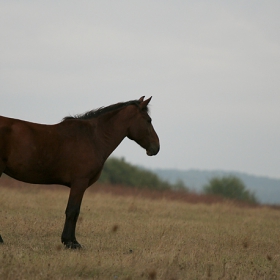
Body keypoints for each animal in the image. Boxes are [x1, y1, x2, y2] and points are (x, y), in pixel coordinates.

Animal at [0, 97, 160, 249]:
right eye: (148, 120)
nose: (156, 147)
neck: (93, 137)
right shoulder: (79, 182)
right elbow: (73, 211)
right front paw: (71, 242)